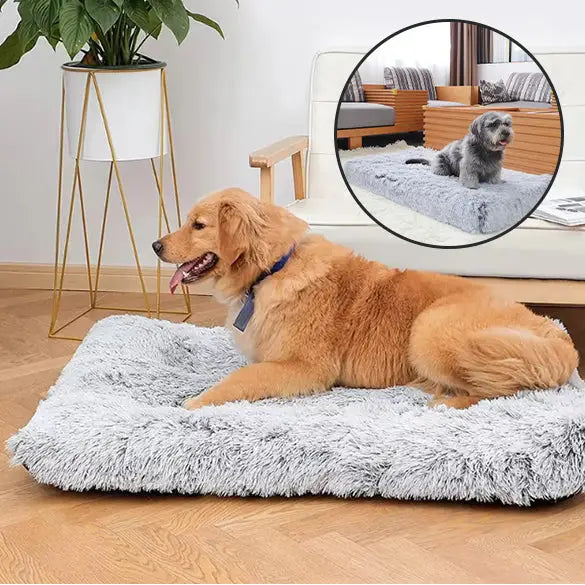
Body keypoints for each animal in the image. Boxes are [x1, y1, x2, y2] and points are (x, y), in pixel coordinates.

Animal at [153, 189, 576, 408]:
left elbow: (239, 379)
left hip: (429, 330)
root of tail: (555, 335)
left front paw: (193, 403)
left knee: (500, 388)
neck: (272, 269)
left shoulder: (305, 367)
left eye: (198, 225)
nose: (155, 245)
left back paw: (444, 401)